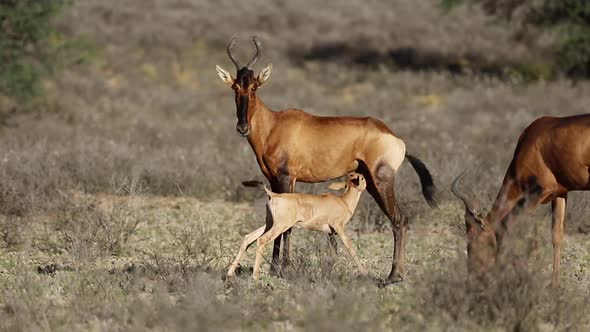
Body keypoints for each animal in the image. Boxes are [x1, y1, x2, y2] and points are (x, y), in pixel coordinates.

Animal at [228, 172, 370, 278]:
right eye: (362, 178)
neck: (343, 202)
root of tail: (274, 195)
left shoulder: (330, 233)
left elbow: (334, 253)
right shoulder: (339, 228)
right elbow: (351, 249)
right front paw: (365, 273)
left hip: (269, 224)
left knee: (248, 238)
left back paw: (230, 273)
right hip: (279, 226)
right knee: (262, 240)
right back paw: (255, 276)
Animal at [454, 114, 590, 288]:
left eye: (472, 236)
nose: (473, 277)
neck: (532, 140)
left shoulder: (539, 191)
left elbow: (507, 226)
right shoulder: (560, 193)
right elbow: (556, 236)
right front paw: (554, 286)